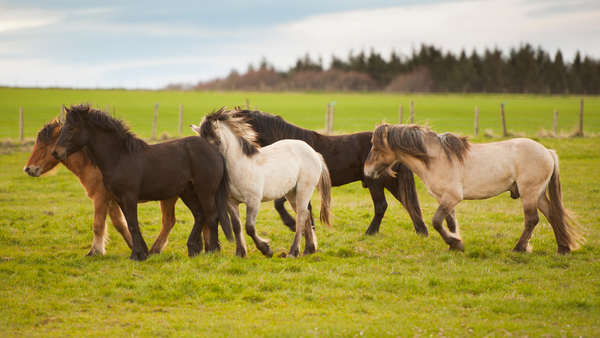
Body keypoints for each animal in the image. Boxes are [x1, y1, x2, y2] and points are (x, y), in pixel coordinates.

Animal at [51, 103, 232, 262]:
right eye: (63, 128)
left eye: (72, 128)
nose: (56, 152)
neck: (119, 157)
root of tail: (213, 150)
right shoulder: (119, 199)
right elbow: (131, 225)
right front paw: (142, 253)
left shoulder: (129, 197)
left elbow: (132, 225)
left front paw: (136, 255)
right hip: (188, 192)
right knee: (200, 216)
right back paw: (193, 248)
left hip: (205, 191)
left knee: (211, 216)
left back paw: (212, 250)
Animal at [192, 108, 332, 258]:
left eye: (218, 141)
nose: (211, 166)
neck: (241, 165)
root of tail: (314, 152)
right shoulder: (231, 203)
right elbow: (237, 226)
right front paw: (240, 252)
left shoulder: (253, 201)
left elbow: (249, 227)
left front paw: (266, 250)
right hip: (291, 193)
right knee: (306, 215)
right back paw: (309, 249)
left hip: (304, 191)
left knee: (300, 218)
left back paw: (293, 252)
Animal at [227, 109, 428, 236]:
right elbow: (303, 207)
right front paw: (308, 229)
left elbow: (283, 205)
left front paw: (294, 225)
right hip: (391, 183)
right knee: (408, 203)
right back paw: (421, 231)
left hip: (376, 183)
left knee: (381, 206)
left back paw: (370, 232)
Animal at [364, 122, 584, 254]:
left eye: (375, 147)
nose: (366, 172)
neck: (437, 159)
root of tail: (547, 151)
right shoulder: (444, 199)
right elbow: (450, 222)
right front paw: (455, 244)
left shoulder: (452, 197)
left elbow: (436, 221)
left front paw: (455, 243)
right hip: (537, 195)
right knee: (552, 215)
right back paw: (563, 248)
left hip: (529, 193)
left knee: (532, 220)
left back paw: (519, 248)